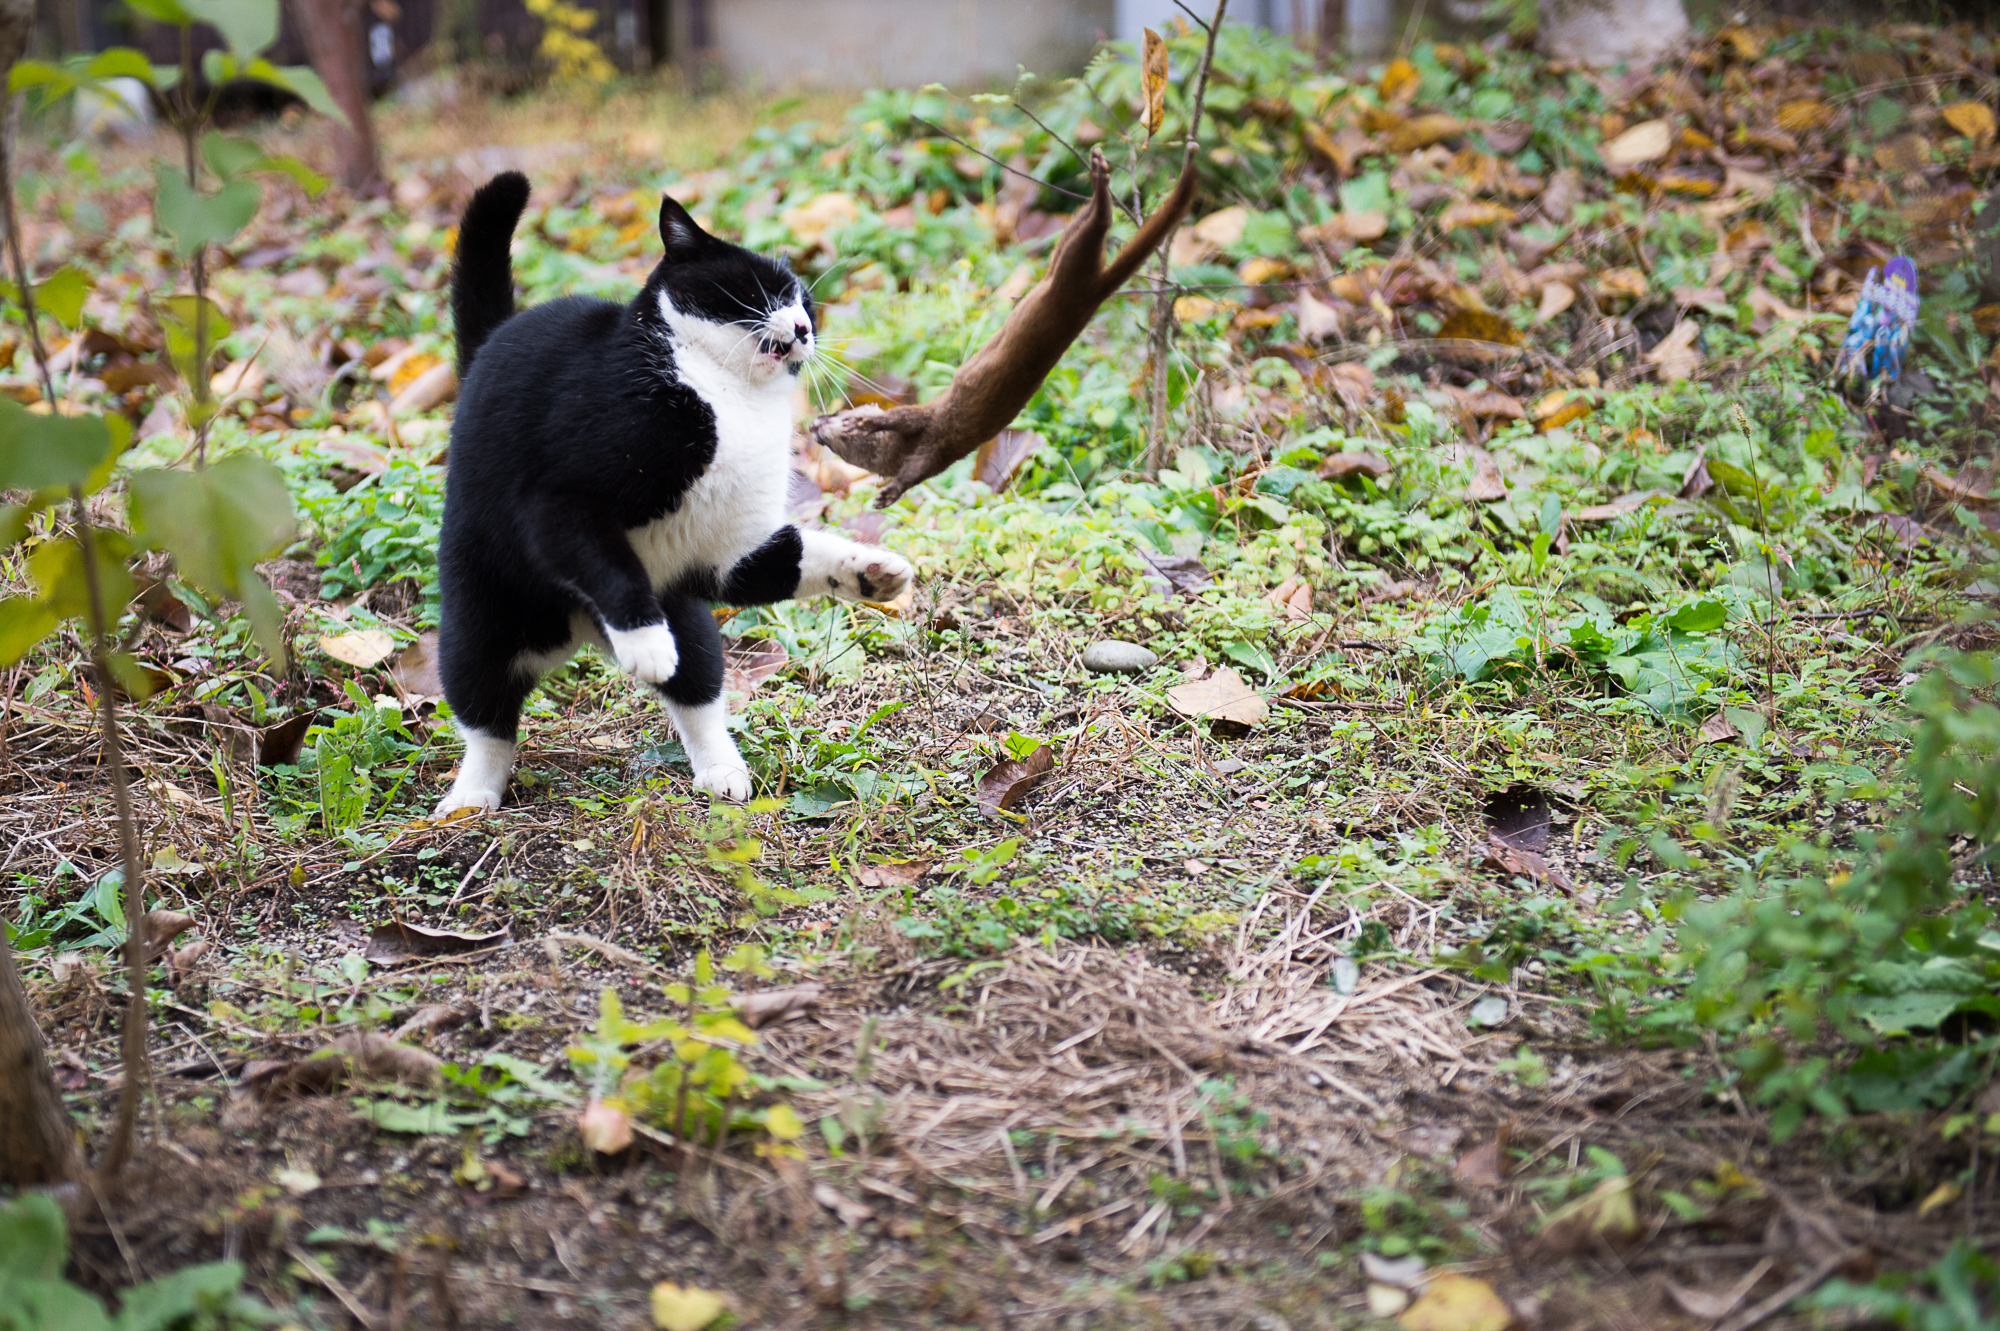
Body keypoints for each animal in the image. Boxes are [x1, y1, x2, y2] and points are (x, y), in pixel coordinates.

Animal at [438, 165, 916, 807]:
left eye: (807, 304)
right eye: (762, 291)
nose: (802, 326)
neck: (729, 393)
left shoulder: (728, 552)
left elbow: (795, 558)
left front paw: (872, 571)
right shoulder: (561, 498)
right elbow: (607, 561)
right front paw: (645, 641)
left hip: (686, 617)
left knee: (698, 689)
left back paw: (722, 771)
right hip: (480, 616)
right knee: (486, 717)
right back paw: (470, 800)